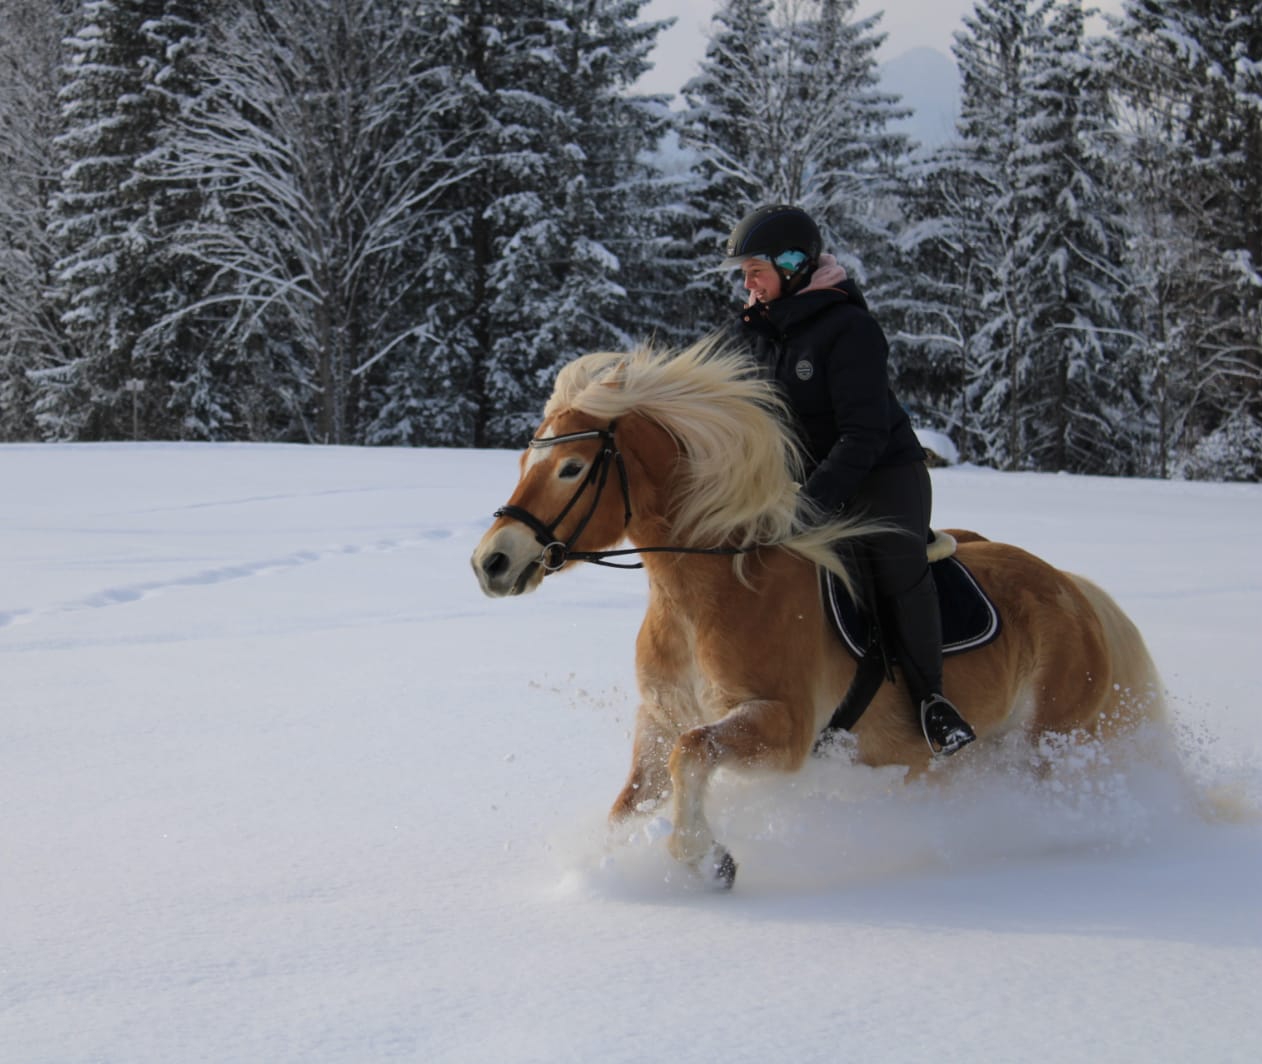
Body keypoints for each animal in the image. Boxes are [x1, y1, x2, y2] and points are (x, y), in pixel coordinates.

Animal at [471, 339, 1167, 889]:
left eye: (571, 467)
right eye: (524, 461)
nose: (492, 562)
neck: (708, 595)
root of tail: (1076, 593)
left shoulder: (782, 730)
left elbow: (693, 755)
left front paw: (709, 861)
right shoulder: (661, 721)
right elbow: (632, 799)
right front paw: (604, 866)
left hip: (1048, 745)